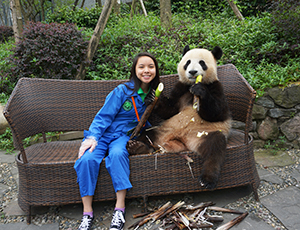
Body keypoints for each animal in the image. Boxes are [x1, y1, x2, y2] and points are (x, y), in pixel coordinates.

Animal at [126, 45, 232, 190]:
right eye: (187, 62)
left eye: (202, 63)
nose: (192, 72)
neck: (191, 86)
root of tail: (181, 142)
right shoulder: (181, 88)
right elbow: (170, 110)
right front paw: (152, 98)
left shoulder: (215, 86)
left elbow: (217, 113)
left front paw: (200, 90)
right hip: (164, 130)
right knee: (148, 134)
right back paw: (137, 147)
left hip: (201, 135)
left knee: (215, 148)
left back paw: (207, 180)